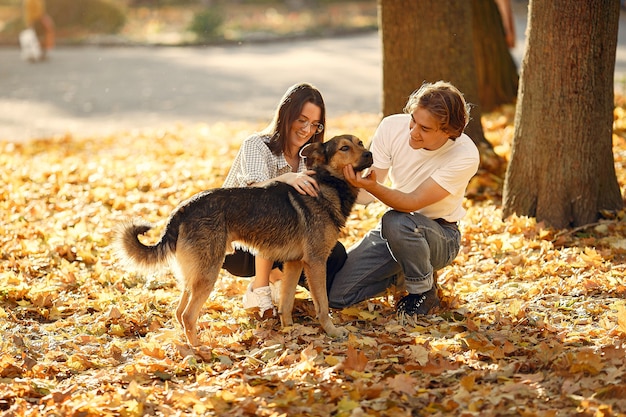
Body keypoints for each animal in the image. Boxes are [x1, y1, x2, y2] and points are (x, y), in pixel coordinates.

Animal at [115, 133, 372, 344]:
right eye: (344, 148)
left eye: (360, 143)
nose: (370, 154)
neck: (327, 183)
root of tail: (183, 208)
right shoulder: (316, 262)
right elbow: (323, 304)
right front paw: (333, 331)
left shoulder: (295, 263)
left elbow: (286, 302)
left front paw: (289, 330)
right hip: (209, 272)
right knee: (188, 315)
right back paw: (200, 350)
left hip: (196, 272)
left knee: (179, 311)